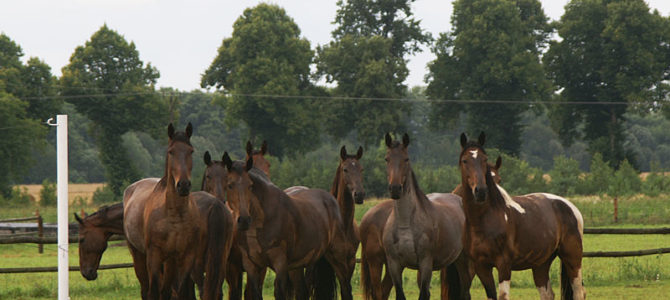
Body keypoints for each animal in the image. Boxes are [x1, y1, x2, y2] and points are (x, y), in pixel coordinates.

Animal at [124, 122, 236, 300]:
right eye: (171, 151)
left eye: (191, 151)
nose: (183, 185)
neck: (173, 214)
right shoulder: (154, 256)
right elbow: (155, 291)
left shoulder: (185, 258)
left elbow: (180, 291)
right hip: (139, 255)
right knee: (148, 290)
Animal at [223, 149, 354, 300]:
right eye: (229, 185)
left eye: (250, 186)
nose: (244, 220)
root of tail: (331, 200)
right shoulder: (252, 266)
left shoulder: (280, 264)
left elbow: (279, 293)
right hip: (298, 266)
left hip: (338, 257)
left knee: (346, 288)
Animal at [380, 134, 470, 300]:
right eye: (386, 158)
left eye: (406, 159)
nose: (395, 188)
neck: (405, 223)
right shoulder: (394, 265)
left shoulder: (425, 263)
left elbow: (423, 294)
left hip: (463, 260)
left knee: (465, 291)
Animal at [460, 133, 584, 300]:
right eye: (465, 160)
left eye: (484, 159)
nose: (480, 191)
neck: (483, 220)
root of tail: (570, 207)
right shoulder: (481, 267)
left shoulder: (504, 265)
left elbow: (503, 296)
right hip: (541, 263)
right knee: (547, 294)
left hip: (572, 259)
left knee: (579, 292)